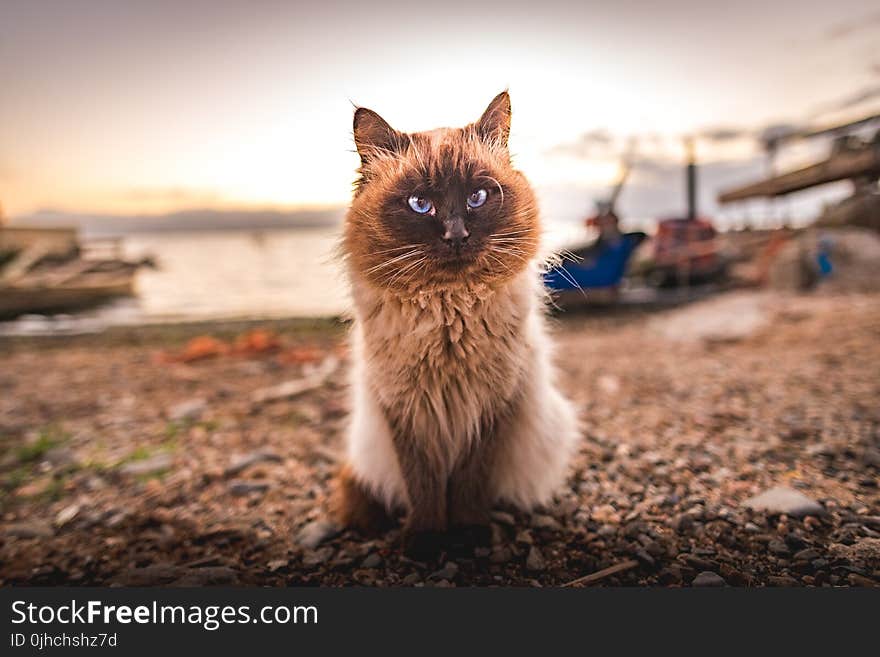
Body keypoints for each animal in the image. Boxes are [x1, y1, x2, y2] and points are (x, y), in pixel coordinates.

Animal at [330, 91, 576, 552]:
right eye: (420, 205)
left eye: (477, 197)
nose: (456, 235)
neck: (448, 311)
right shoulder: (407, 414)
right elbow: (423, 487)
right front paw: (425, 541)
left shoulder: (490, 410)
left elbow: (469, 486)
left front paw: (468, 536)